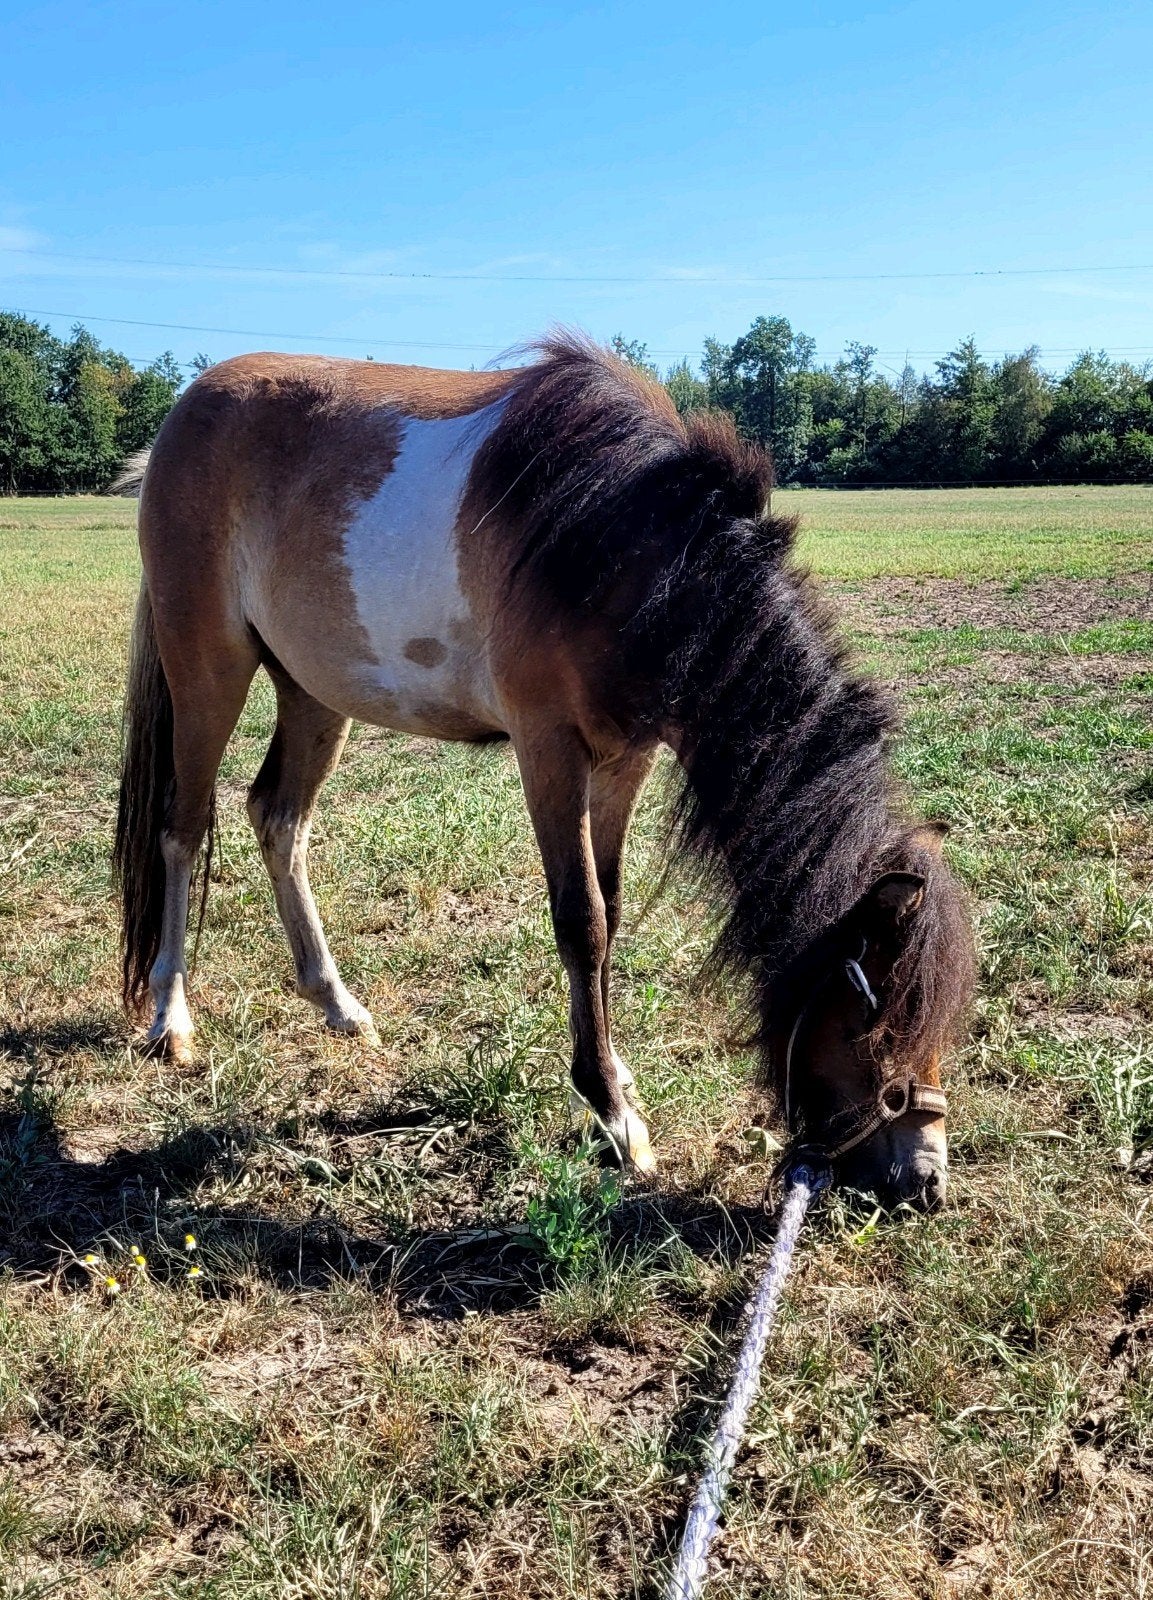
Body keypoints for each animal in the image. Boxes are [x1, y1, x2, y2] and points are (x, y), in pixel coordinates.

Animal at [113, 333, 974, 1208]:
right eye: (879, 1018)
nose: (924, 1179)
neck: (632, 553)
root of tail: (183, 415)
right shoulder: (547, 747)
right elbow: (580, 921)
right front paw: (612, 1117)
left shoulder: (625, 757)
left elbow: (610, 911)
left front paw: (614, 1080)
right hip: (207, 668)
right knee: (181, 828)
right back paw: (170, 1019)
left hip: (314, 691)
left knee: (279, 819)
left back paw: (336, 1003)